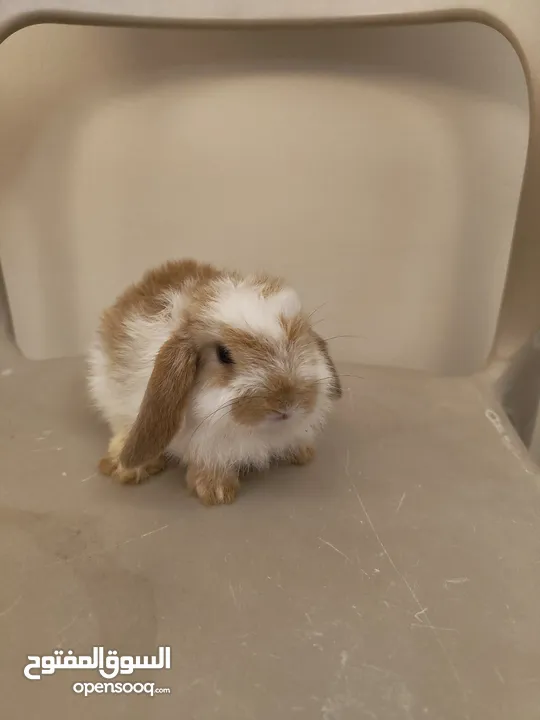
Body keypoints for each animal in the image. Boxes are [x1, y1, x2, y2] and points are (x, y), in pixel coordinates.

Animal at [88, 260, 342, 506]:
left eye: (303, 339)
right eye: (223, 354)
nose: (286, 403)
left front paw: (302, 452)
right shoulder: (207, 446)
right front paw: (217, 492)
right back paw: (127, 467)